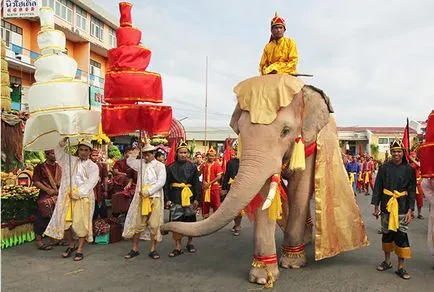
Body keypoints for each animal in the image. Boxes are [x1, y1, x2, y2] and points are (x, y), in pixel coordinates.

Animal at [163, 74, 370, 288]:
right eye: (240, 131)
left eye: (285, 131)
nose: (163, 231)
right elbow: (264, 194)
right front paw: (262, 276)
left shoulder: (309, 142)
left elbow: (299, 189)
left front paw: (292, 263)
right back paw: (304, 240)